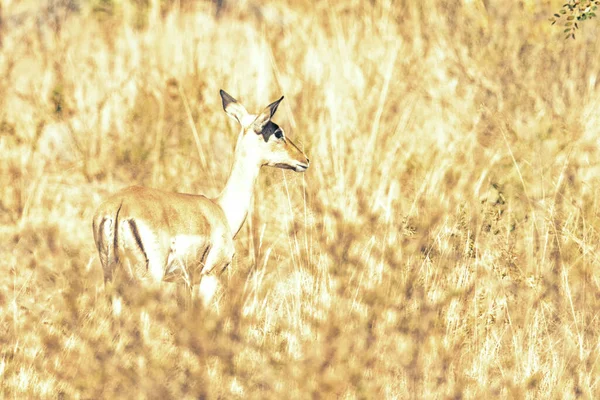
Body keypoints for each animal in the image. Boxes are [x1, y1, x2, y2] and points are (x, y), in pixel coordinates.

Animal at [92, 90, 314, 304]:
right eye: (278, 132)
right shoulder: (210, 274)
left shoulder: (184, 281)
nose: (305, 160)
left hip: (111, 279)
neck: (221, 208)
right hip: (148, 279)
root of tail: (120, 206)